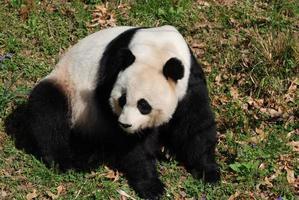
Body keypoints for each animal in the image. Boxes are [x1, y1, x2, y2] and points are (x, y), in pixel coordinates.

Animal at [26, 25, 220, 199]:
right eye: (122, 100)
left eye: (144, 105)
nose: (125, 124)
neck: (158, 49)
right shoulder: (111, 74)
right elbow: (132, 143)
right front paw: (152, 186)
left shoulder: (190, 81)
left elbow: (196, 126)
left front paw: (209, 172)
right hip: (68, 89)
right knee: (48, 110)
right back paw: (68, 161)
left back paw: (167, 150)